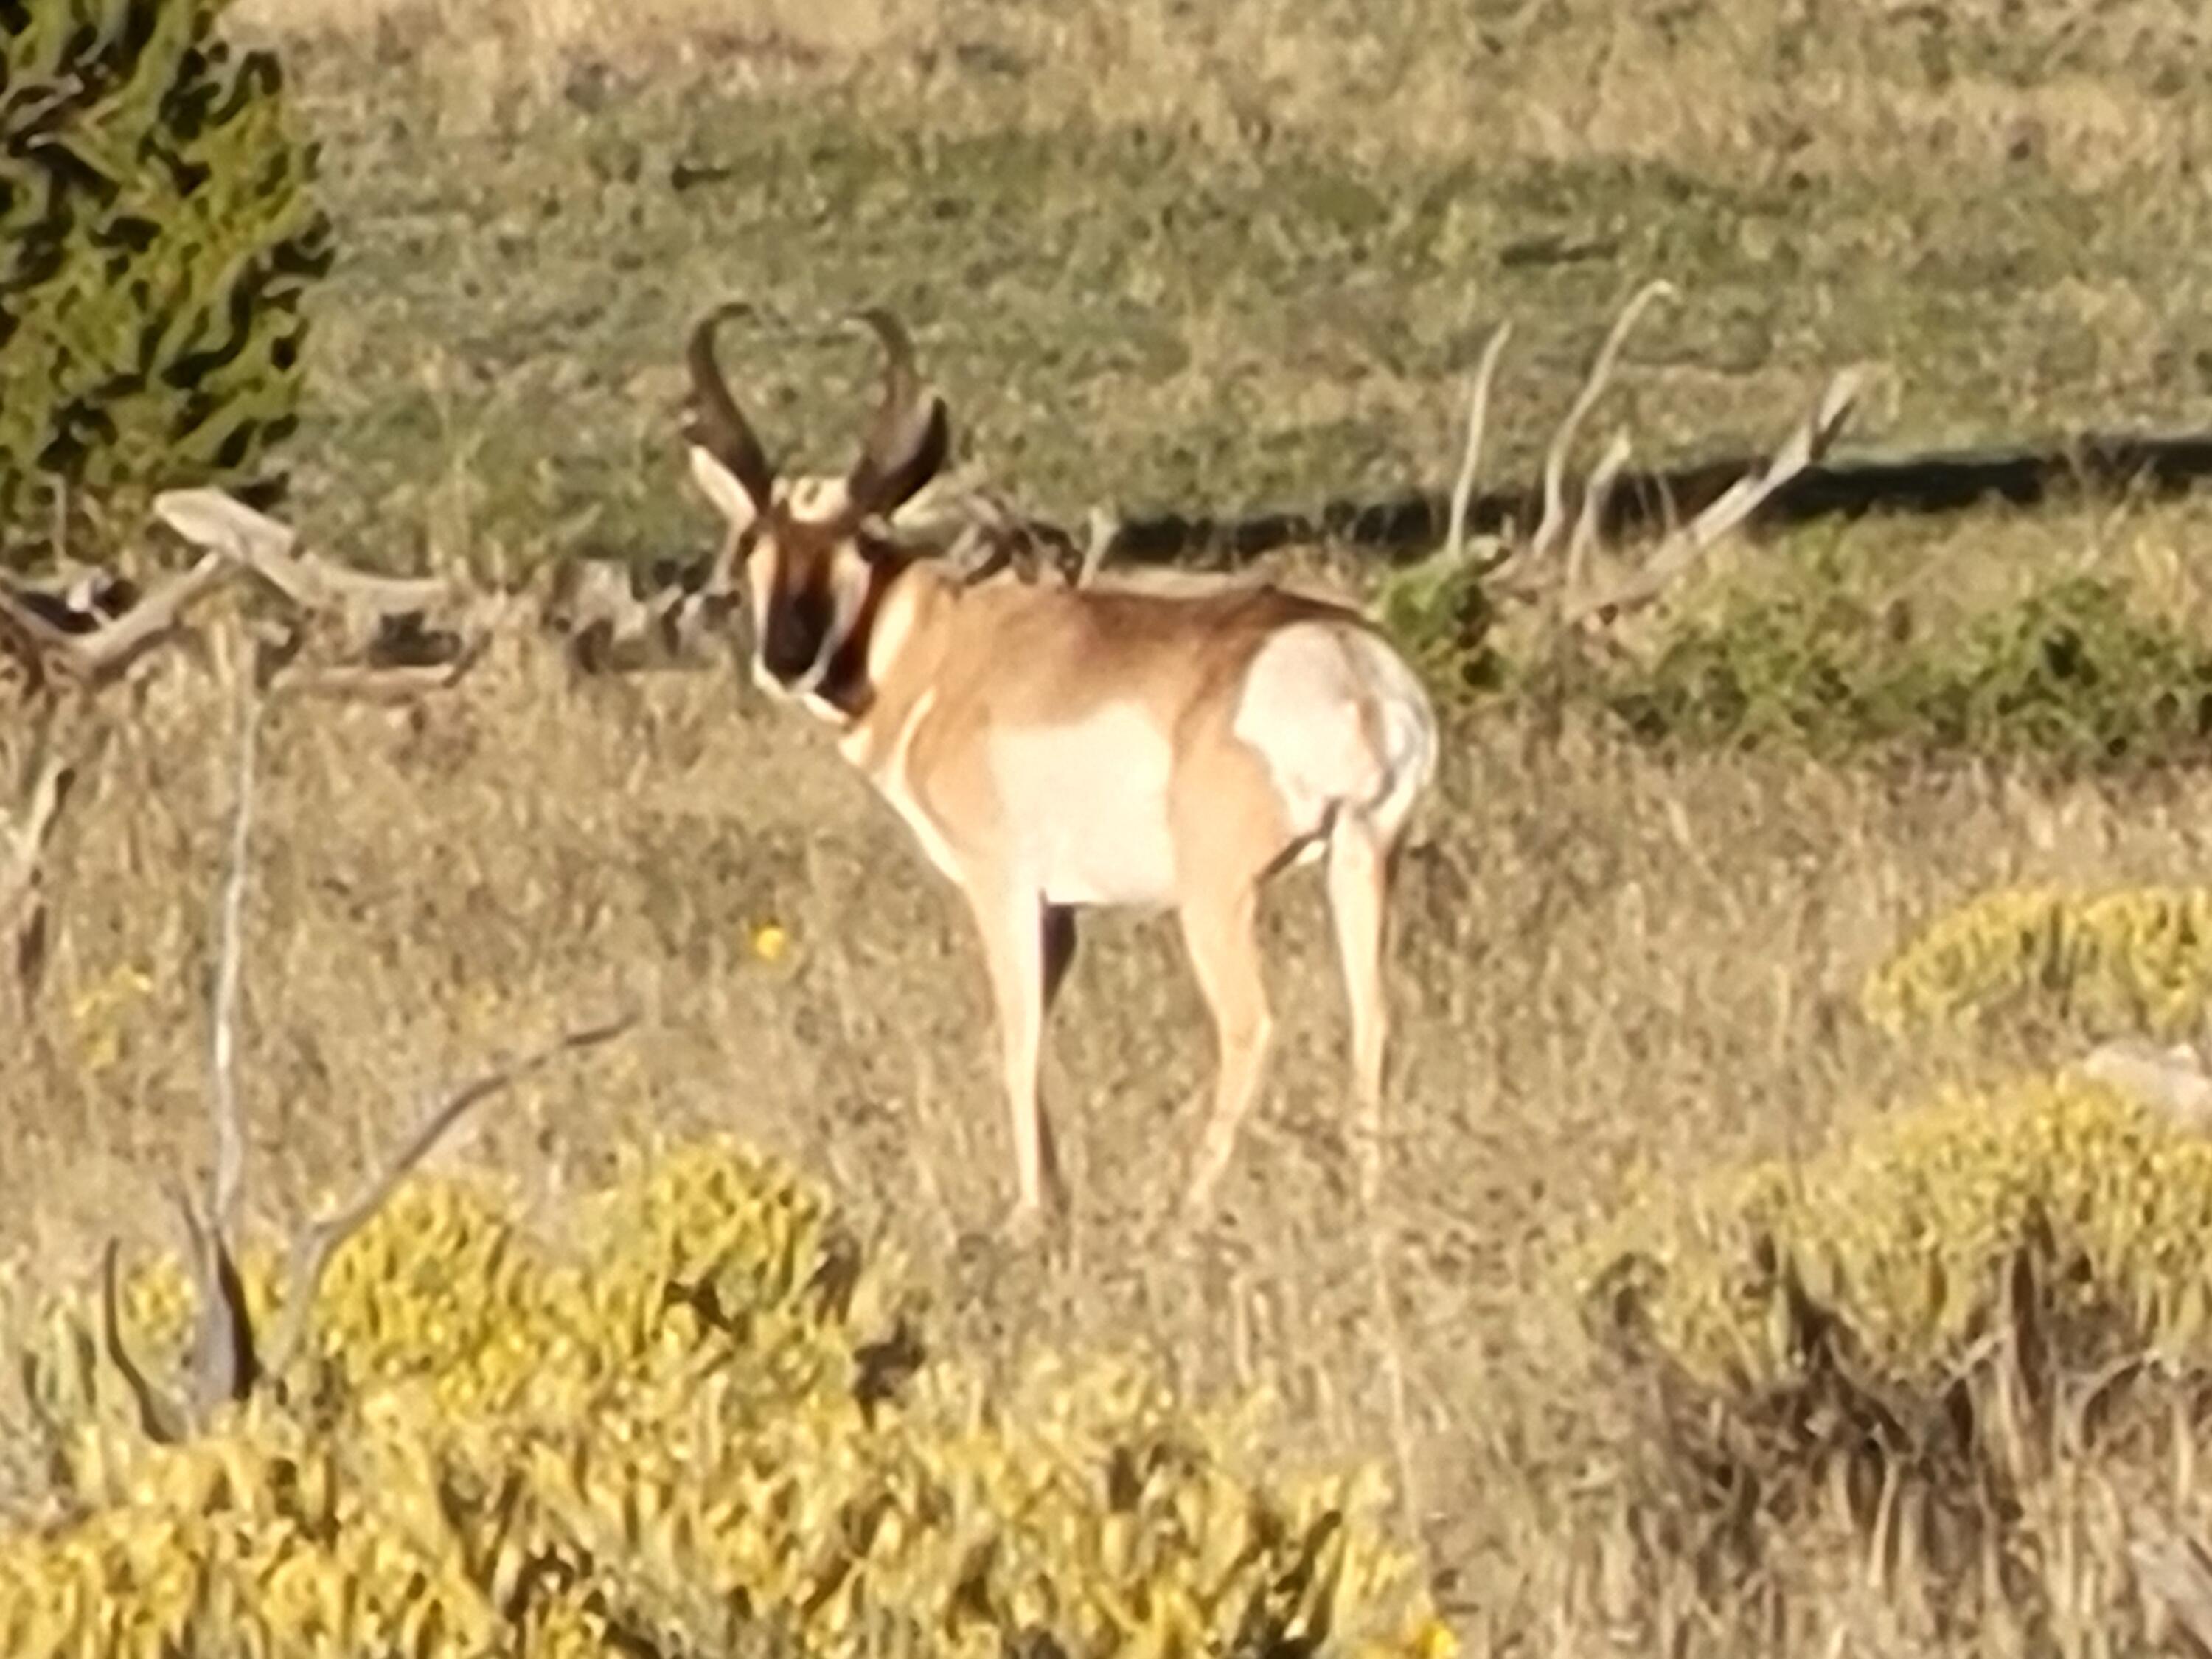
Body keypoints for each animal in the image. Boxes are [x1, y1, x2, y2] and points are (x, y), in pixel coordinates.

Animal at [679, 301, 1442, 1235]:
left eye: (860, 539)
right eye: (756, 536)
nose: (784, 661)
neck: (948, 649)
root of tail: (1345, 661)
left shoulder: (1004, 889)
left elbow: (1017, 1038)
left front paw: (1027, 1215)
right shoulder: (1064, 915)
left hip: (1217, 899)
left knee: (1251, 1026)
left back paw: (1187, 1211)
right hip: (1363, 862)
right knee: (1375, 1019)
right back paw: (1368, 1210)